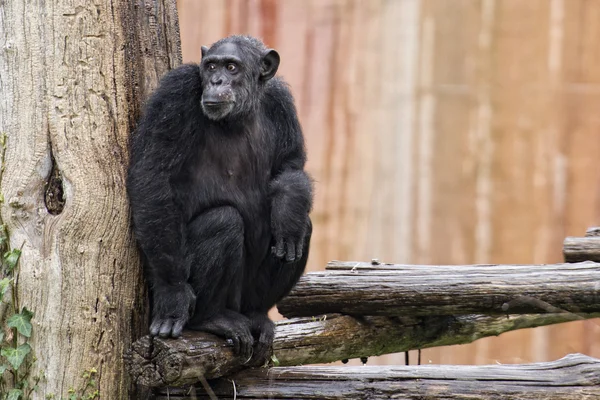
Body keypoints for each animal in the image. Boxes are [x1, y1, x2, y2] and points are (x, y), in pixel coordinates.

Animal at [126, 36, 314, 364]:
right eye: (211, 66)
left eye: (231, 67)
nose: (216, 81)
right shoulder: (174, 93)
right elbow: (154, 175)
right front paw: (173, 293)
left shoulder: (281, 101)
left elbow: (290, 165)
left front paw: (288, 210)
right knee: (223, 221)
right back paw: (210, 318)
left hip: (246, 297)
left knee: (303, 229)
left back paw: (258, 314)